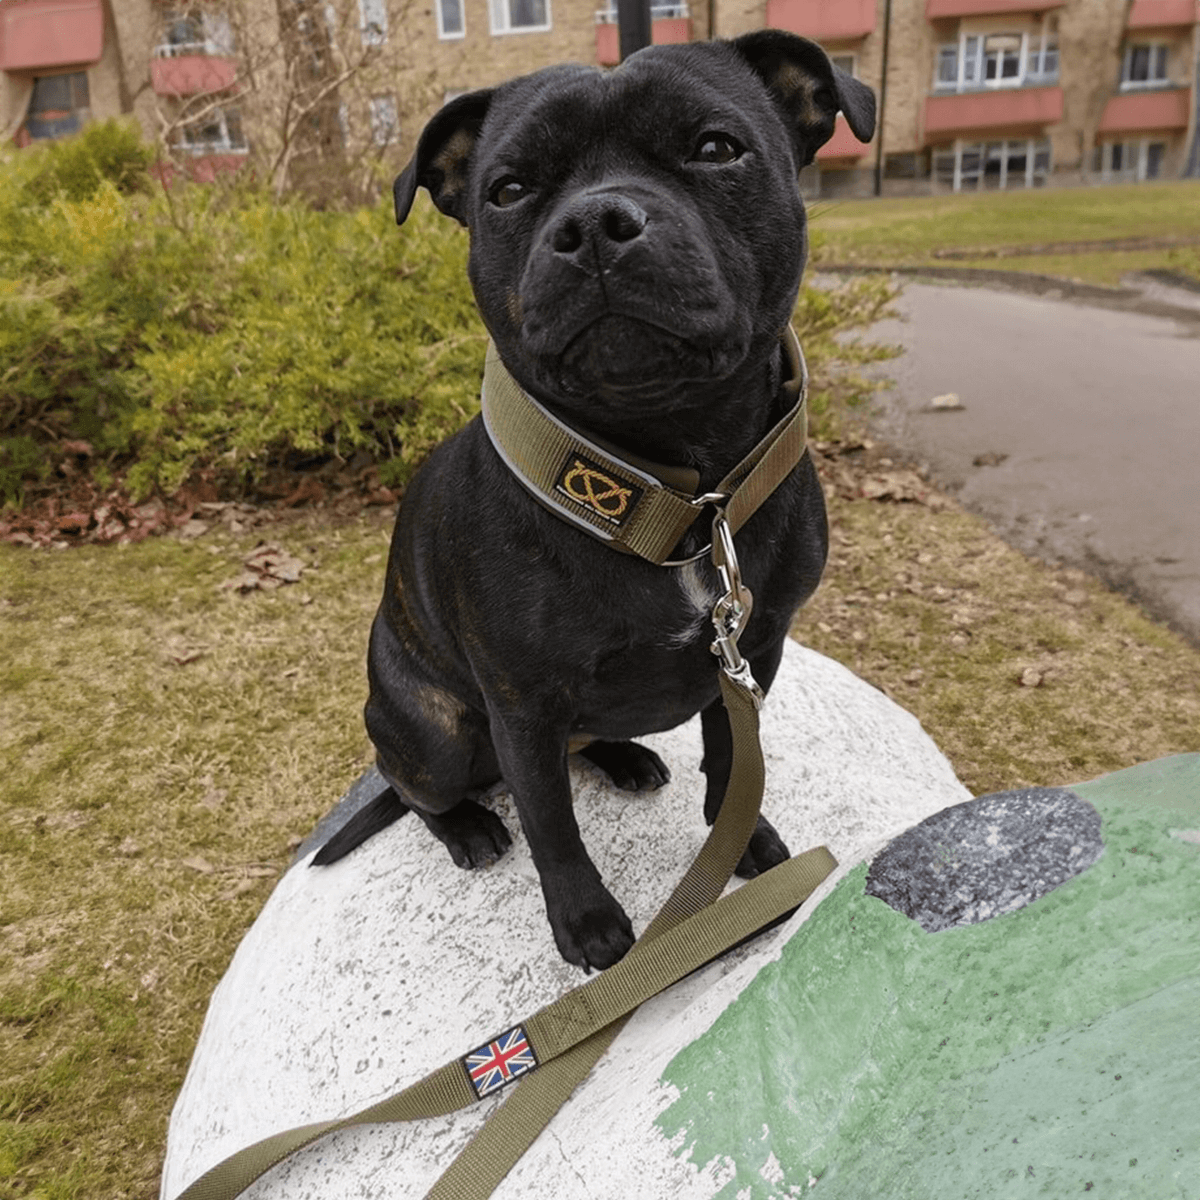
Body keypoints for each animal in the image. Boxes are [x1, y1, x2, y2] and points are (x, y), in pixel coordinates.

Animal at [312, 32, 873, 969]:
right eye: (507, 190)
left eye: (716, 147)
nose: (593, 226)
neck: (674, 495)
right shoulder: (522, 707)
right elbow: (552, 825)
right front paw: (587, 924)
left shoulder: (753, 647)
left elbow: (733, 758)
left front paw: (743, 839)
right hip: (434, 729)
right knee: (420, 787)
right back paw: (468, 826)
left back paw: (622, 757)